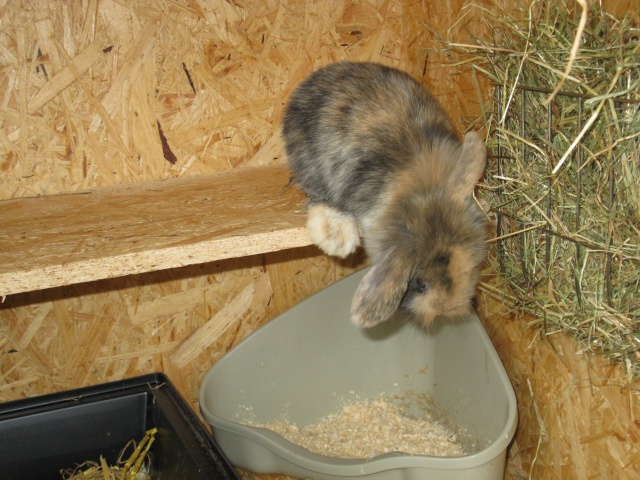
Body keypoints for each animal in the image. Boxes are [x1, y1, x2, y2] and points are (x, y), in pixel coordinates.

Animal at [282, 62, 488, 328]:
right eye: (421, 284)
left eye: (471, 264)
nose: (448, 309)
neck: (421, 192)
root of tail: (309, 83)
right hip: (308, 158)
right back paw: (337, 235)